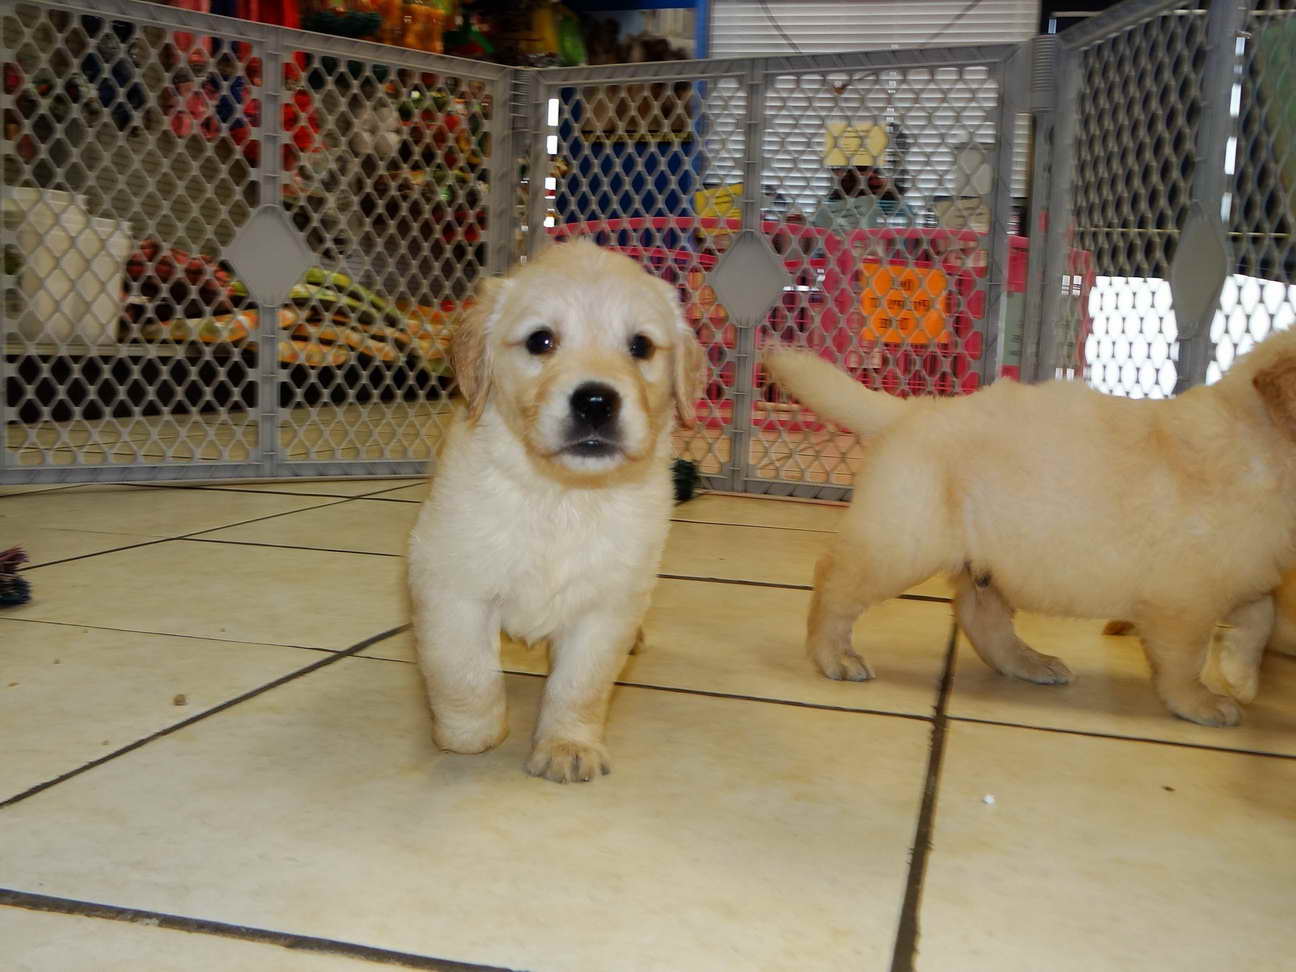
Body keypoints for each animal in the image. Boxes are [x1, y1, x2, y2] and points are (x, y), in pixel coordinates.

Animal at [409, 242, 705, 782]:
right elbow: (464, 671)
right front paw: (469, 734)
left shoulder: (608, 603)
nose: (596, 401)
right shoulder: (449, 580)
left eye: (641, 346)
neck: (564, 494)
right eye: (540, 340)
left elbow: (580, 686)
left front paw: (568, 746)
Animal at [762, 331, 1296, 725]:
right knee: (834, 579)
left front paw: (1241, 677)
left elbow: (1262, 615)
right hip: (903, 539)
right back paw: (835, 657)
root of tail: (914, 409)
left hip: (991, 558)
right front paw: (1203, 703)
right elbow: (1184, 659)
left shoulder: (1244, 567)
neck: (1263, 448)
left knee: (980, 617)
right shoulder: (1183, 598)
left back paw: (1031, 663)